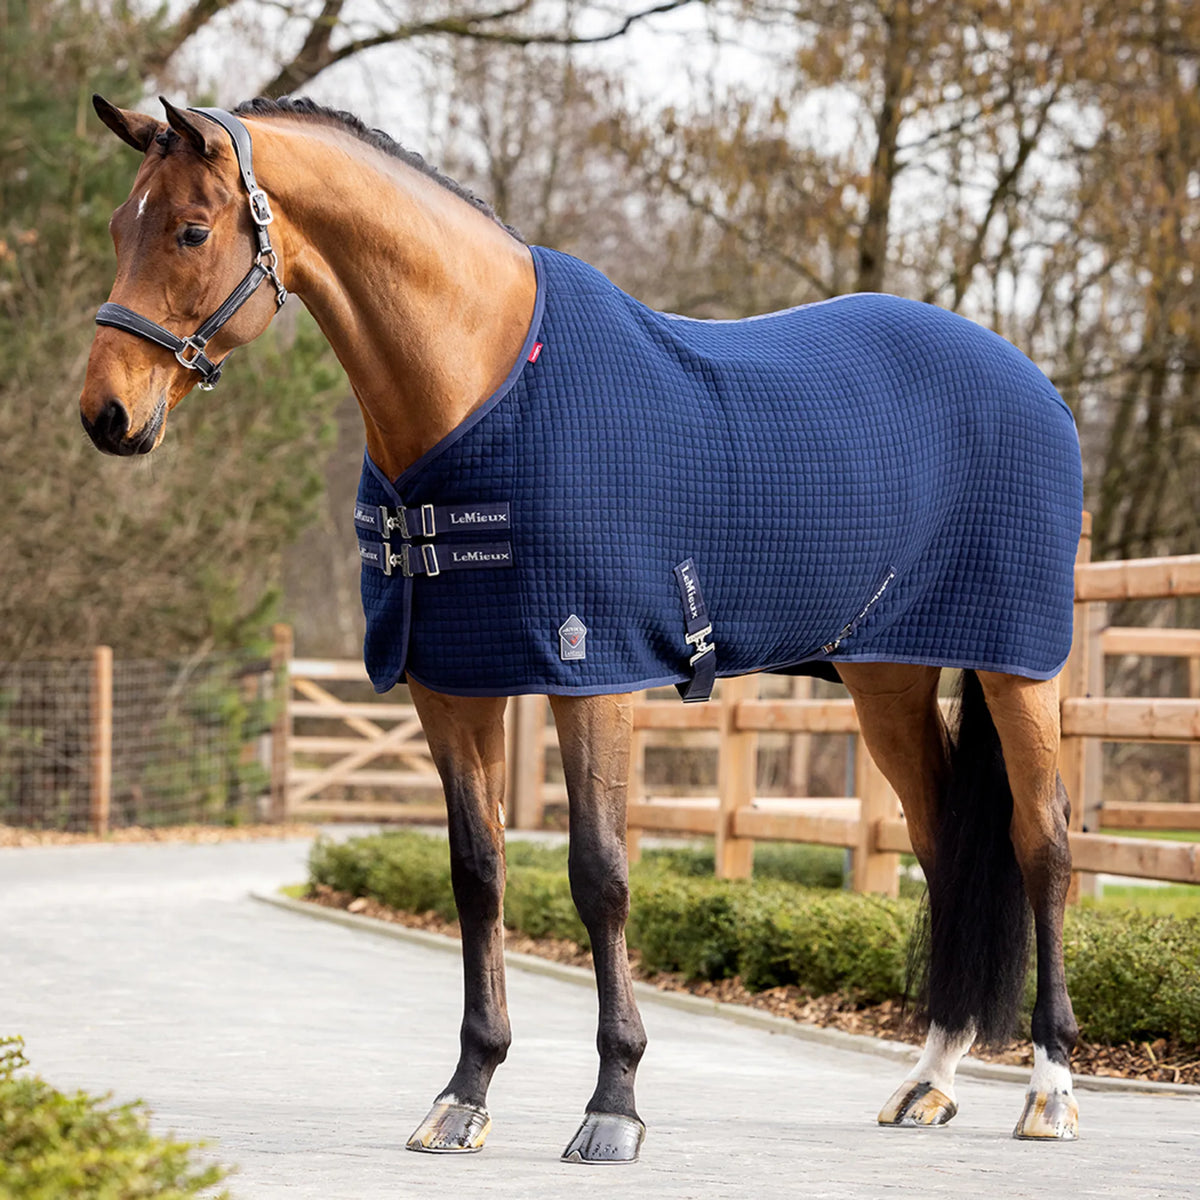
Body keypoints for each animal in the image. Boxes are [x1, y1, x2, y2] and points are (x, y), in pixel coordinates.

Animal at [80, 95, 1084, 1162]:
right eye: (118, 229)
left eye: (191, 231)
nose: (106, 413)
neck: (485, 390)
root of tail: (1032, 381)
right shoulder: (451, 683)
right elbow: (477, 873)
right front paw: (466, 1093)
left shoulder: (589, 672)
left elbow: (600, 875)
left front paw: (614, 1105)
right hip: (886, 675)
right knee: (943, 845)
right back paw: (930, 1077)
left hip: (1021, 671)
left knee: (1040, 842)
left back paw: (1050, 1087)